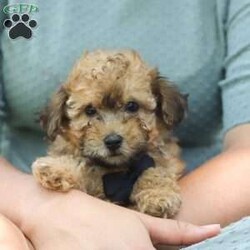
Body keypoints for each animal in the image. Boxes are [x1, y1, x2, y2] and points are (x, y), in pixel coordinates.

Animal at [31, 49, 188, 218]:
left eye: (132, 106)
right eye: (90, 110)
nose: (113, 141)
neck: (116, 170)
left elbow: (154, 169)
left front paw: (158, 194)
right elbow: (84, 167)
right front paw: (56, 168)